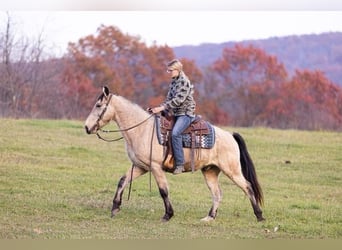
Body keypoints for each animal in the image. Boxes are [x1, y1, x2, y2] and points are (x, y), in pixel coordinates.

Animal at [83, 86, 264, 223]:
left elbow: (163, 190)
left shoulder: (155, 167)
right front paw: (115, 208)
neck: (142, 130)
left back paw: (259, 216)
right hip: (210, 171)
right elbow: (123, 181)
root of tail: (230, 136)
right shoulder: (141, 167)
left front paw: (168, 215)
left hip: (232, 171)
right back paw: (209, 217)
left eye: (98, 105)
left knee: (247, 187)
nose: (86, 127)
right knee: (217, 193)